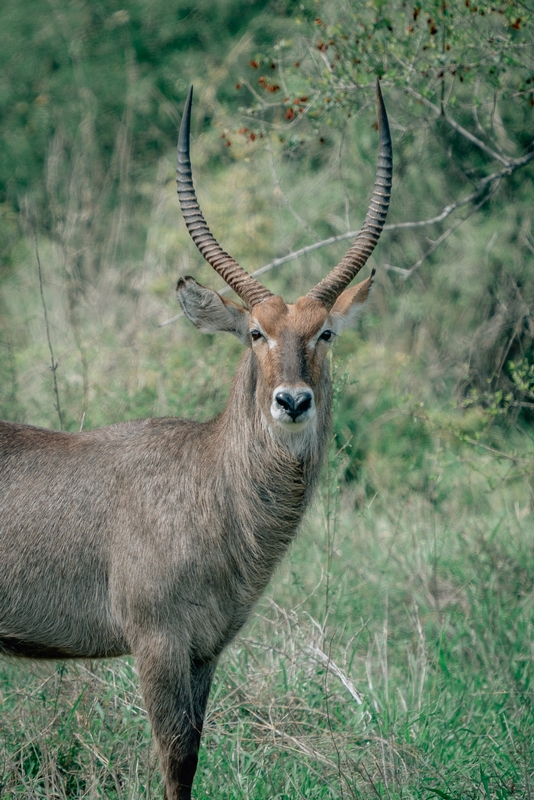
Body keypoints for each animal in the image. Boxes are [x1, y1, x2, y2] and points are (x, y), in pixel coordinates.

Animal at [0, 81, 394, 800]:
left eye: (325, 332)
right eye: (255, 333)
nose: (292, 401)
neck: (209, 482)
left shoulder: (207, 649)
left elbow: (193, 753)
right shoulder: (157, 643)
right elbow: (175, 754)